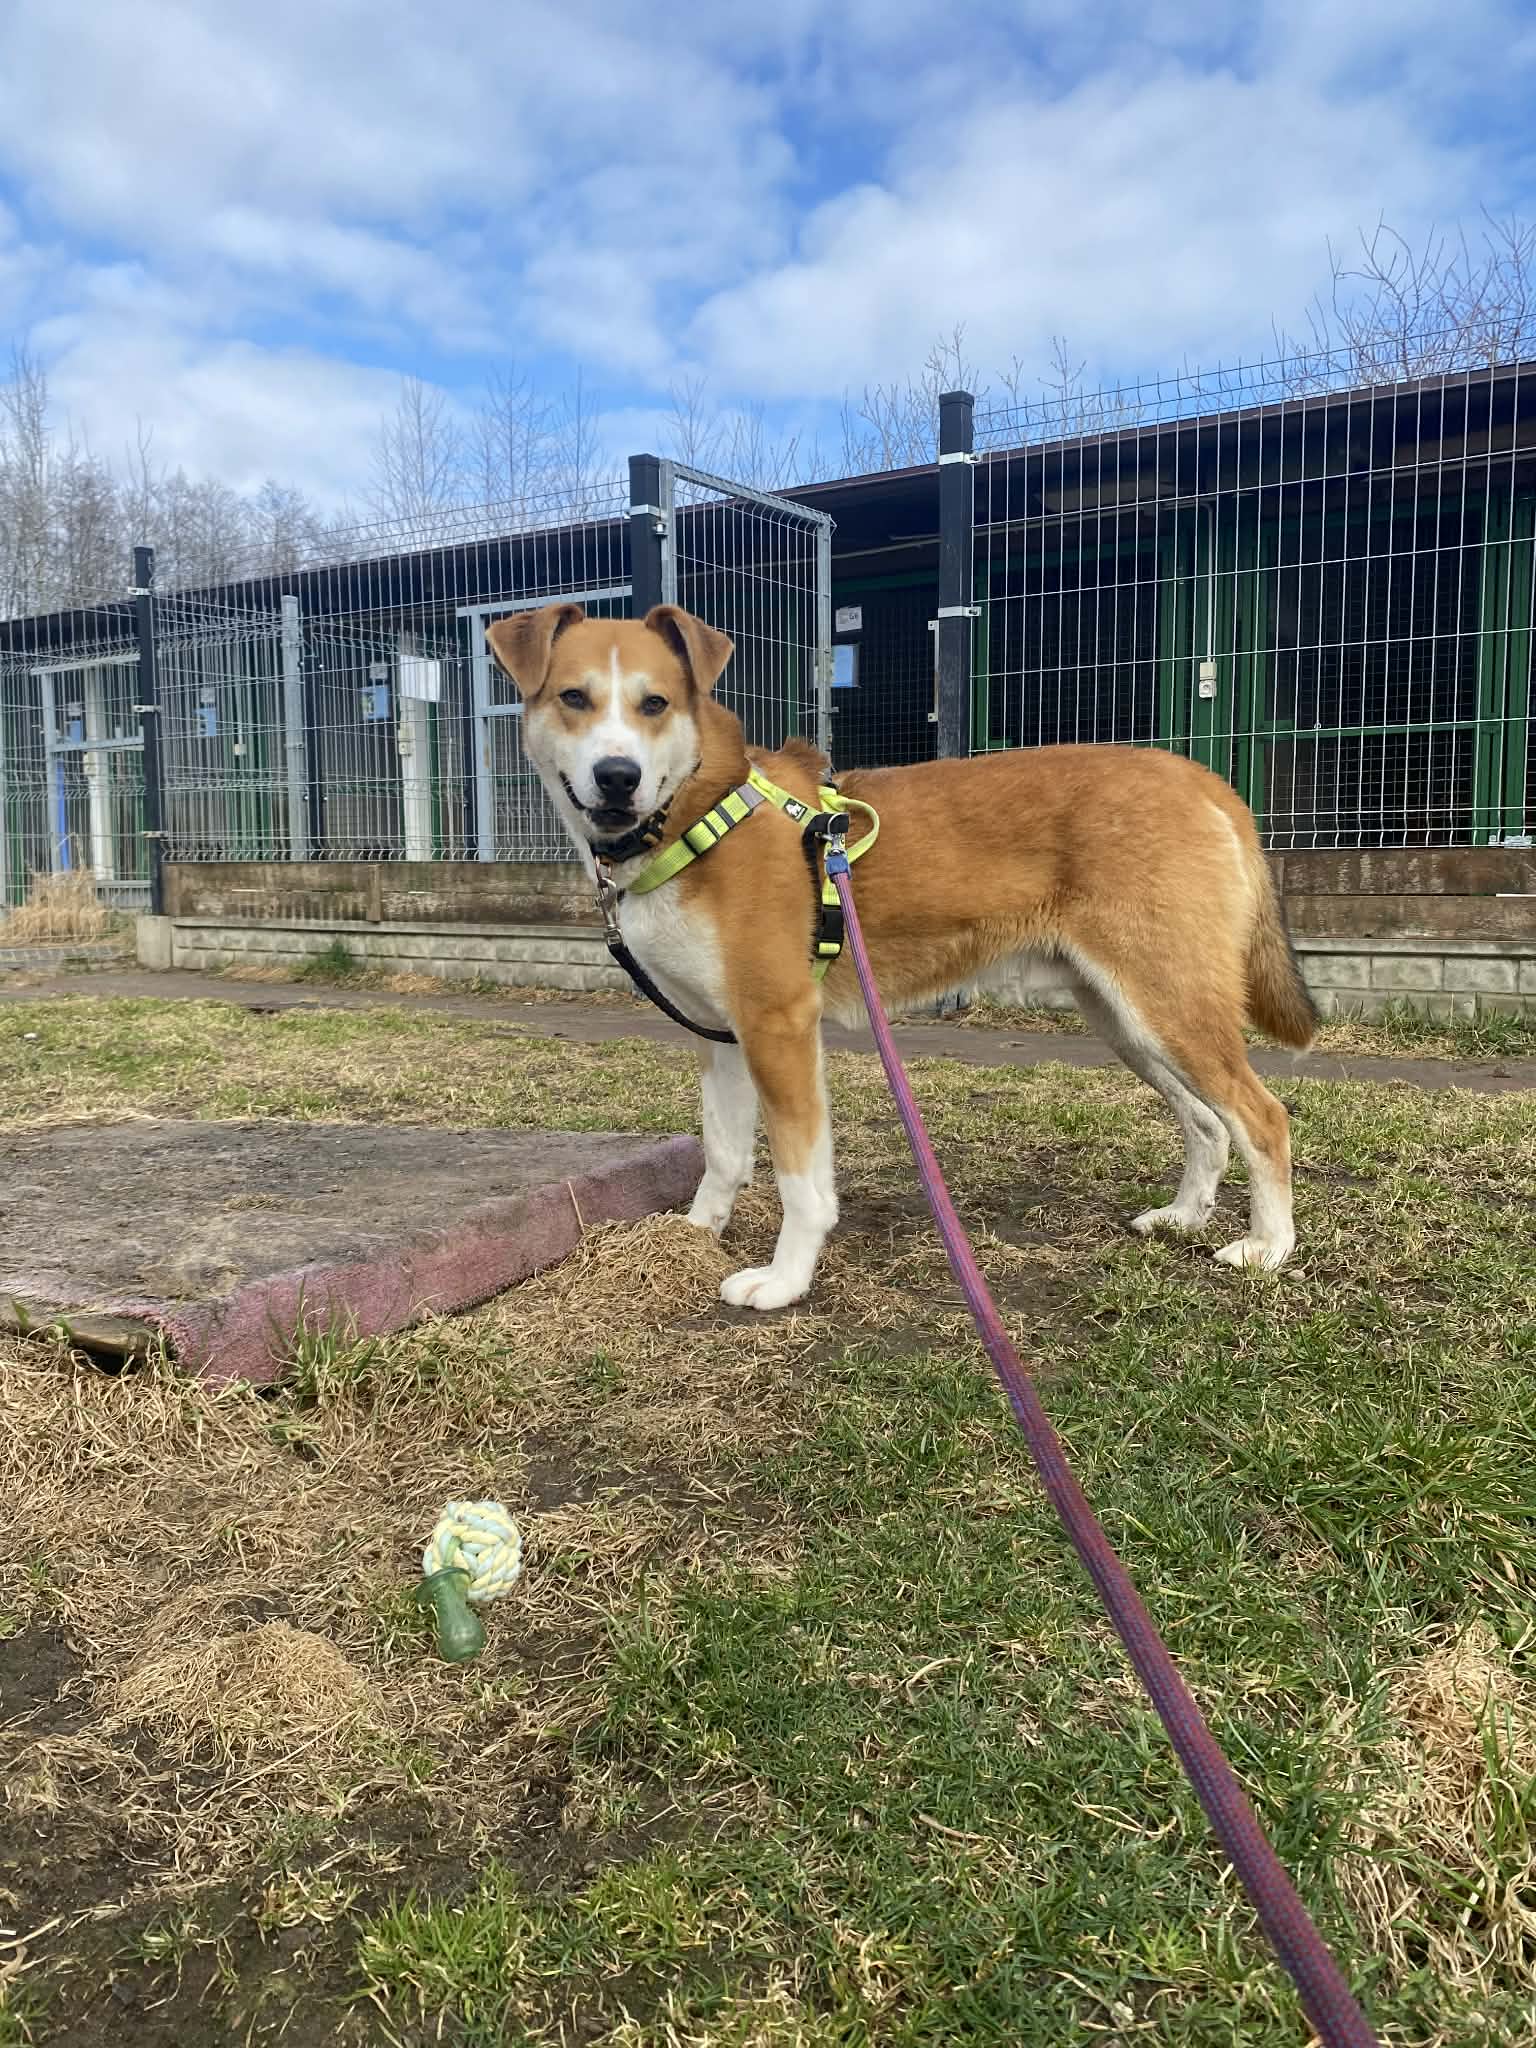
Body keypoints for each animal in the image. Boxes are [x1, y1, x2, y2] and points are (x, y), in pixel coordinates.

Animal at [486, 602, 1317, 1311]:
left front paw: (785, 1281)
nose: (617, 776)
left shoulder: (779, 1028)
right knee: (1209, 1123)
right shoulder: (720, 1036)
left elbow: (801, 1182)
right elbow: (722, 1155)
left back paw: (1269, 1248)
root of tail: (1198, 776)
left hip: (1167, 1006)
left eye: (654, 704)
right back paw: (1184, 1216)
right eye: (573, 697)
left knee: (1263, 1117)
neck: (695, 811)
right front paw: (692, 1238)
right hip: (1128, 1019)